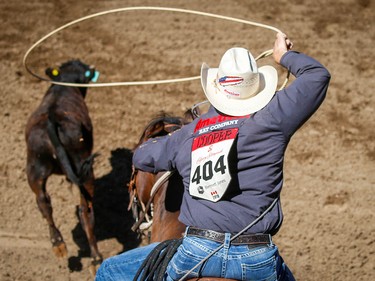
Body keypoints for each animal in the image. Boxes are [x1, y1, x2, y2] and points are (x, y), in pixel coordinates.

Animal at [24, 59, 102, 272]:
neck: (64, 85)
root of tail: (52, 120)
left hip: (34, 168)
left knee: (43, 202)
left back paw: (58, 244)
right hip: (85, 172)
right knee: (86, 212)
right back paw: (96, 259)